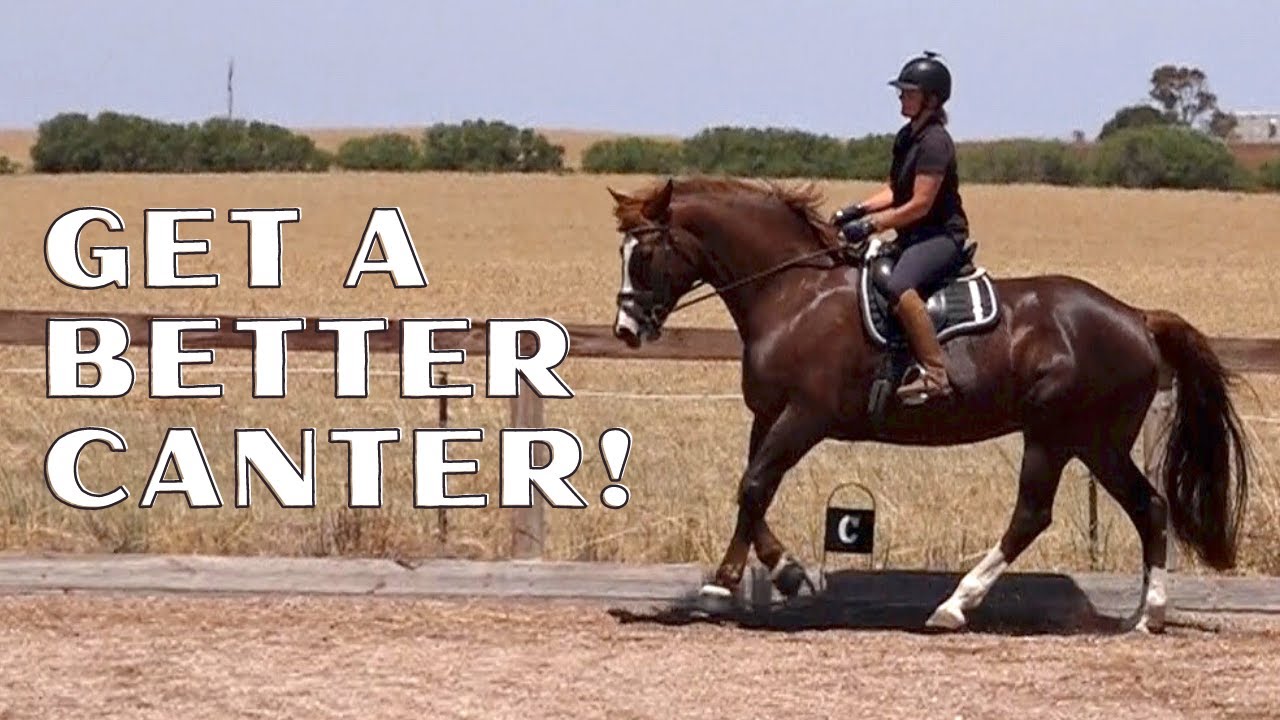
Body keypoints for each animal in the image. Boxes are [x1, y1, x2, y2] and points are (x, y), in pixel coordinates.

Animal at [605, 175, 1251, 633]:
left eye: (645, 254)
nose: (627, 330)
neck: (794, 294)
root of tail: (1137, 317)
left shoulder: (806, 416)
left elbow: (754, 485)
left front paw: (724, 584)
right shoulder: (768, 415)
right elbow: (750, 491)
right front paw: (781, 573)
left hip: (1058, 434)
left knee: (1034, 514)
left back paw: (955, 605)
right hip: (1098, 442)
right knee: (1150, 507)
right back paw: (1146, 615)